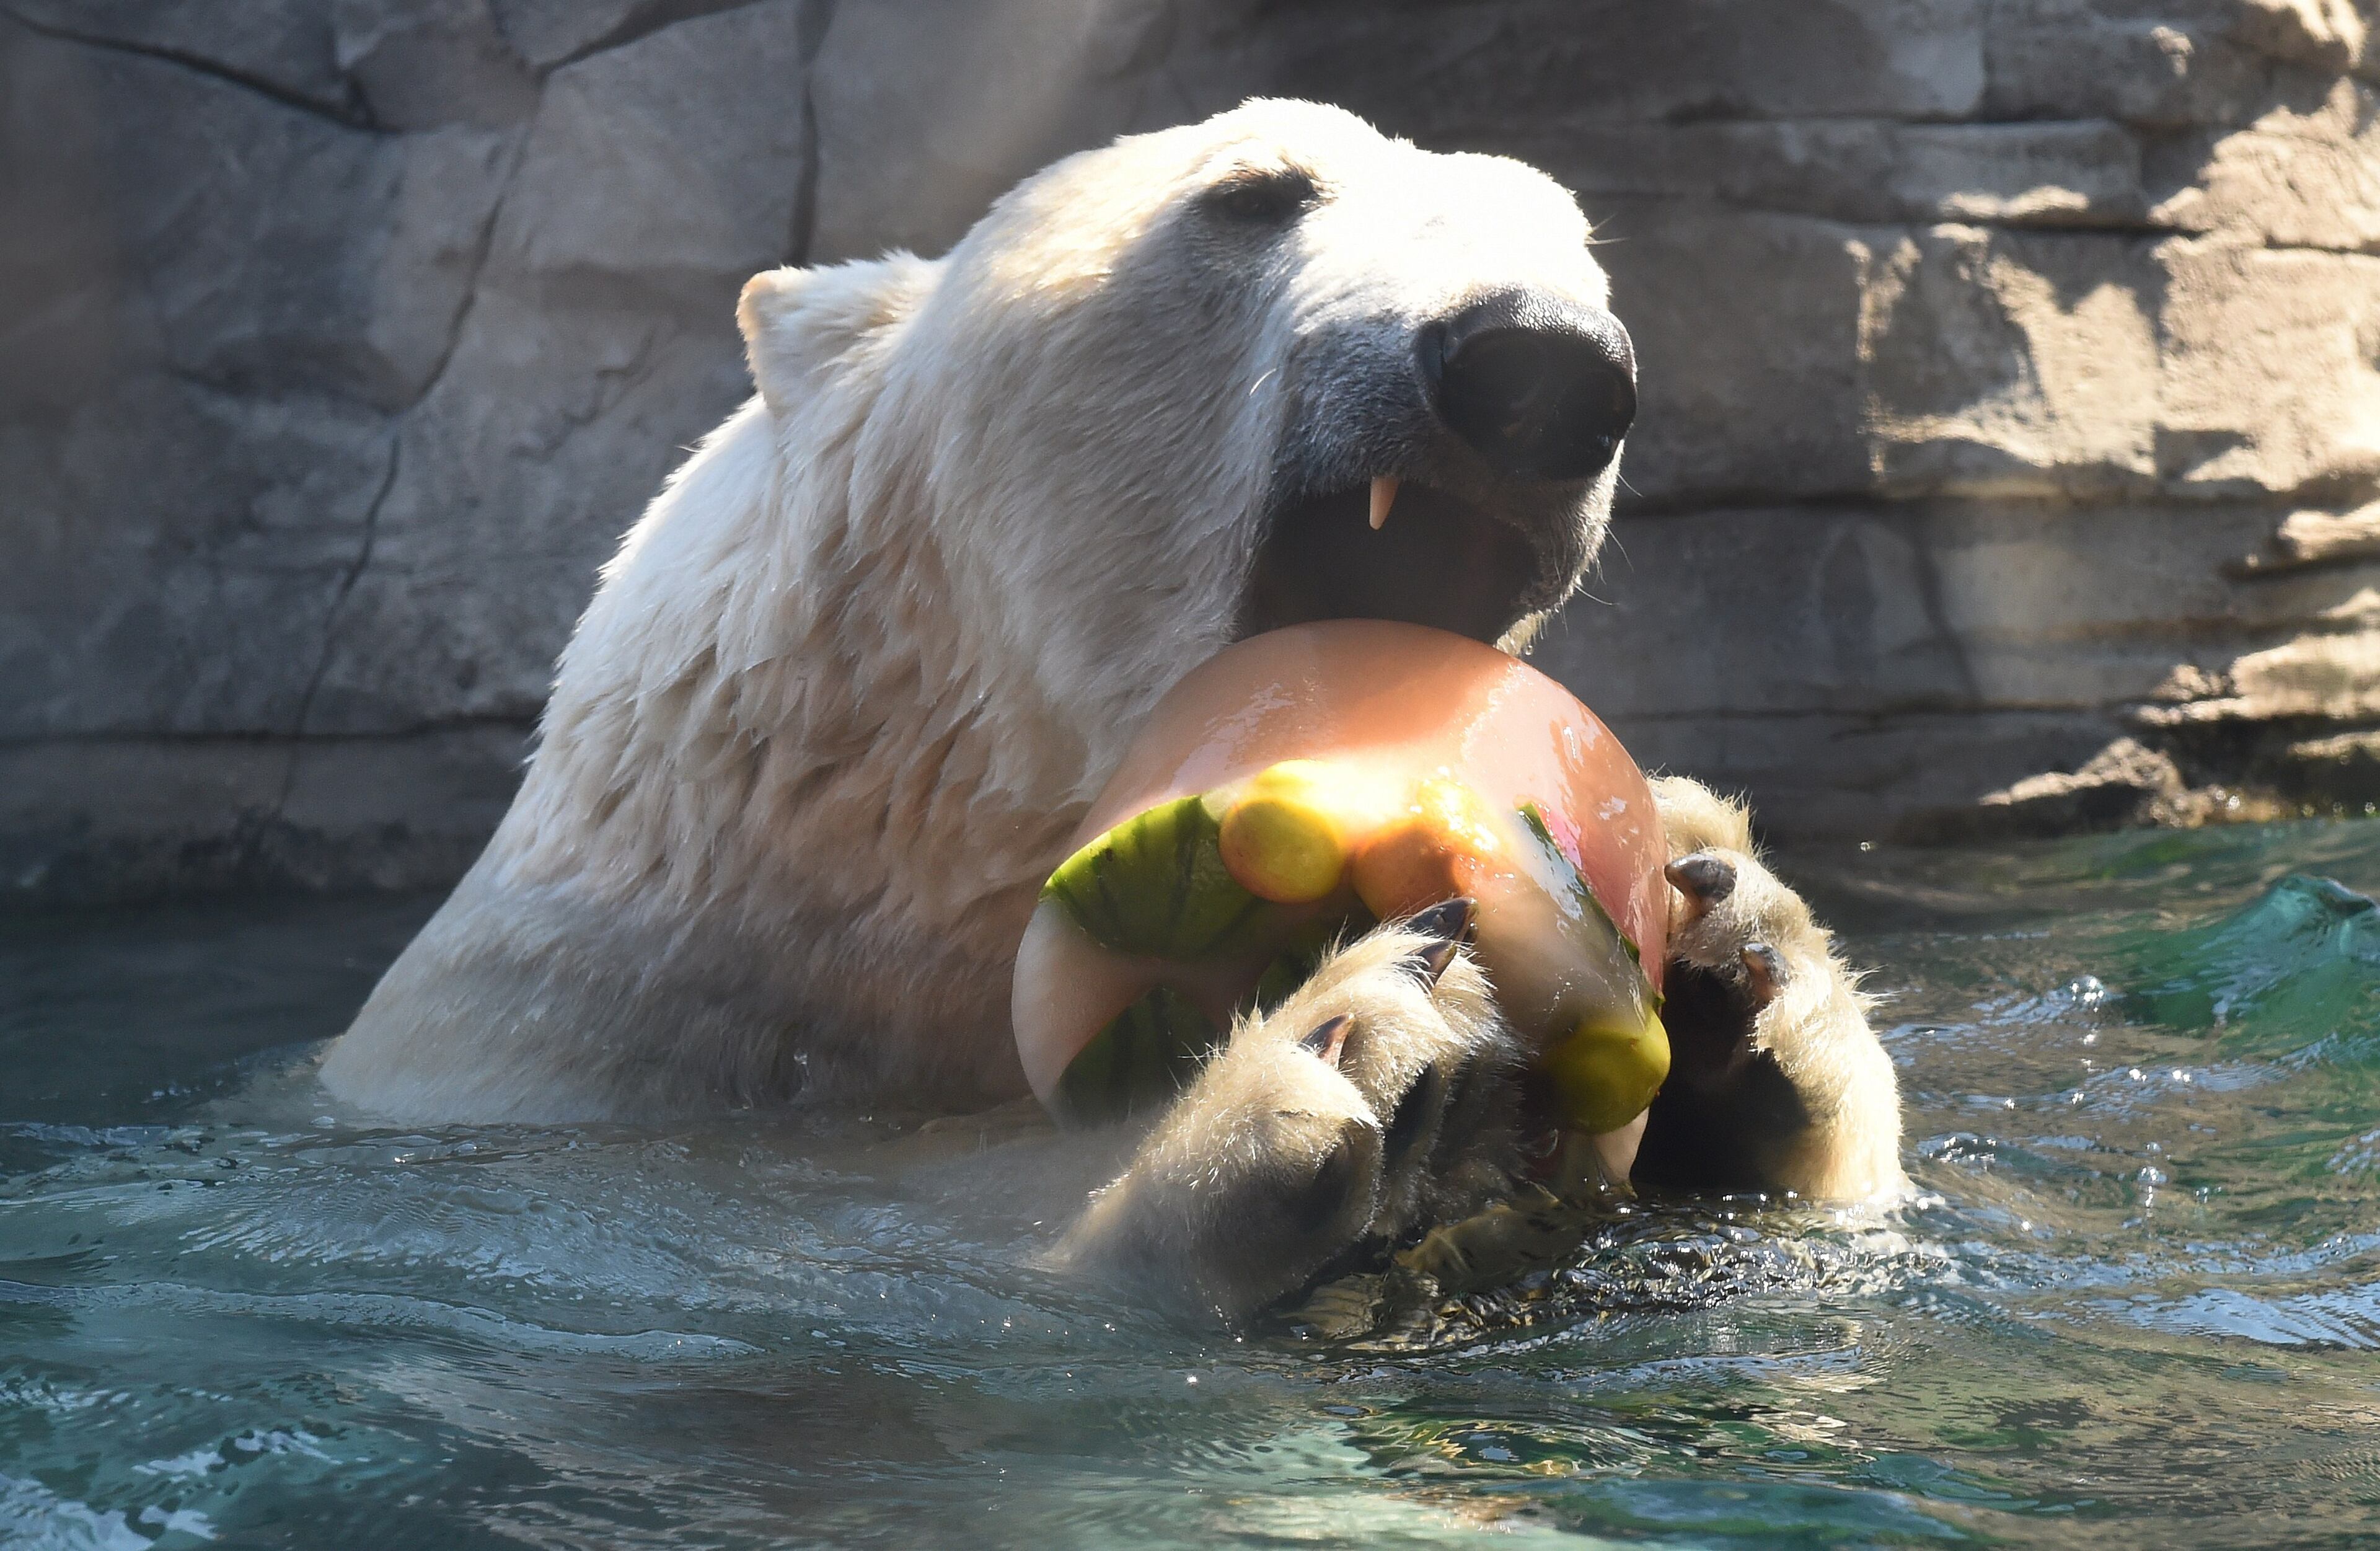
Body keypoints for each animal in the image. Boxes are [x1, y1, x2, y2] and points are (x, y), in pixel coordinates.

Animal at [320, 99, 1902, 1321]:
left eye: (1566, 235)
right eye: (1253, 194)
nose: (1544, 363)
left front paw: (1742, 956)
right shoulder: (588, 1051)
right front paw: (1348, 1064)